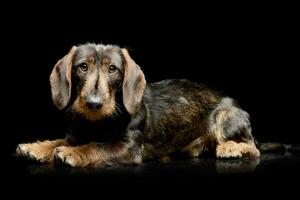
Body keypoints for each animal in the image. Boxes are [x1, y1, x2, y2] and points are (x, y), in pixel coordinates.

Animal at [16, 43, 260, 167]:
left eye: (112, 69)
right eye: (83, 66)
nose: (93, 103)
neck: (98, 122)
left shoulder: (127, 148)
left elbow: (97, 147)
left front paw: (72, 153)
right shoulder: (75, 135)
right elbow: (58, 140)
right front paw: (35, 147)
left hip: (226, 115)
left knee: (253, 148)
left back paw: (230, 148)